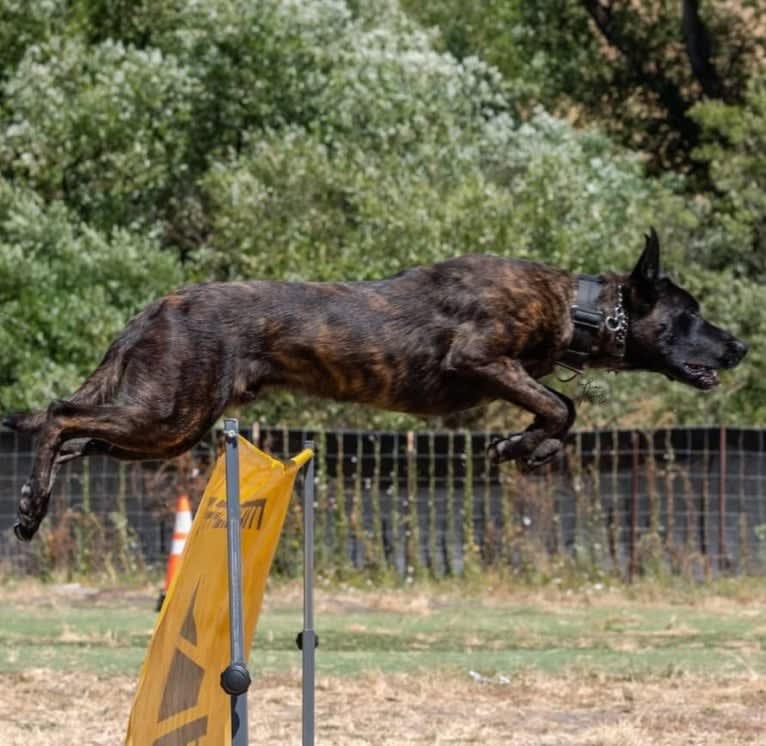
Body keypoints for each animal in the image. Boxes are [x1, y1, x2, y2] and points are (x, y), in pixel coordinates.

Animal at [4, 230, 752, 536]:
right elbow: (561, 404)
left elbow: (560, 408)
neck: (576, 307)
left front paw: (528, 448)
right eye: (690, 313)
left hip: (166, 427)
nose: (741, 345)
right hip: (169, 413)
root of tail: (156, 307)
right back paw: (32, 505)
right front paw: (523, 446)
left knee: (73, 431)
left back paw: (37, 497)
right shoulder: (480, 360)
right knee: (57, 415)